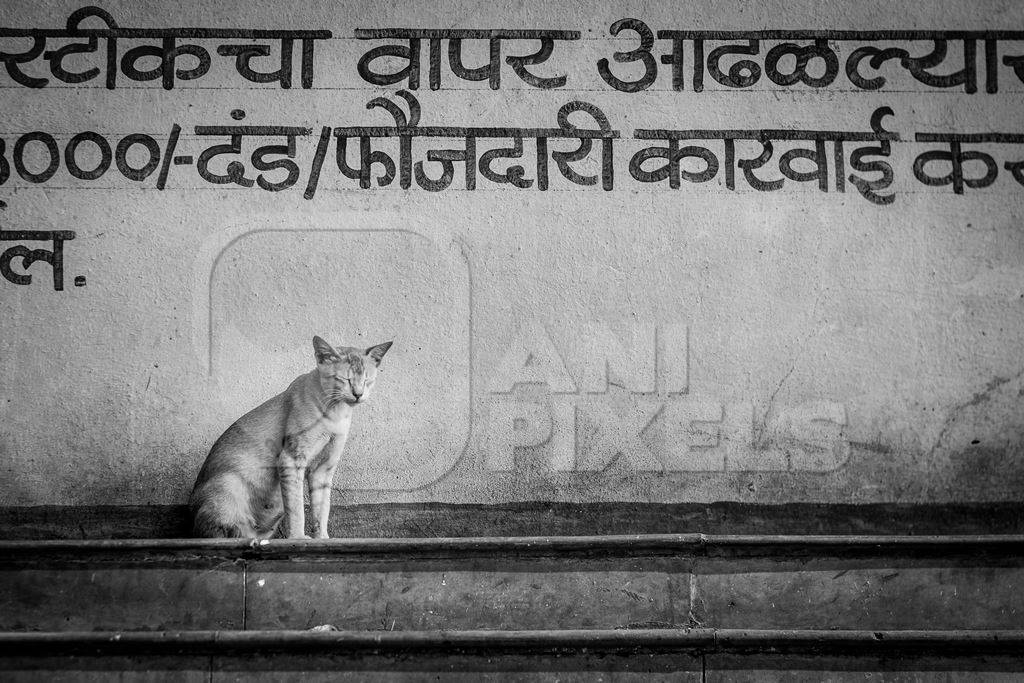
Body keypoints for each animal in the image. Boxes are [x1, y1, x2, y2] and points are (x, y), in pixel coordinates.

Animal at [188, 335, 391, 540]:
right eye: (345, 379)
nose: (358, 394)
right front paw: (298, 537)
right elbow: (297, 508)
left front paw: (322, 538)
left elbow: (322, 509)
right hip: (229, 484)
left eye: (367, 380)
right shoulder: (291, 458)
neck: (337, 413)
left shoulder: (323, 468)